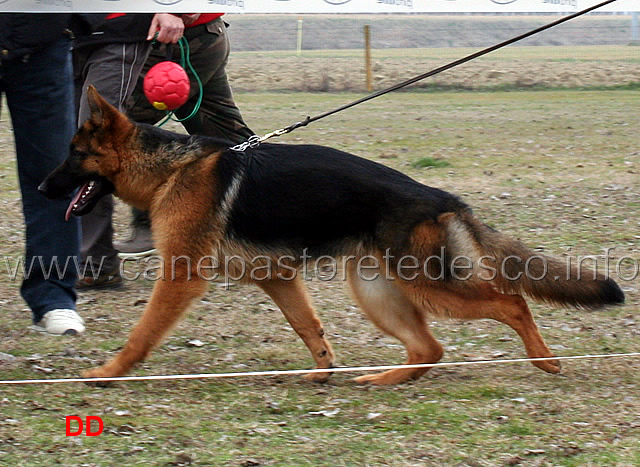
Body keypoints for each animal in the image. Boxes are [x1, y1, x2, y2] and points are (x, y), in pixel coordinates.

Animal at [37, 87, 624, 384]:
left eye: (73, 155)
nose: (41, 186)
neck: (169, 169)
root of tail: (442, 198)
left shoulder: (180, 278)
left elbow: (141, 335)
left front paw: (108, 371)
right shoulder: (277, 279)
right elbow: (308, 326)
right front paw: (323, 370)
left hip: (428, 288)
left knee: (511, 301)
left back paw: (543, 359)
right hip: (375, 290)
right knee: (429, 347)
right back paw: (382, 380)